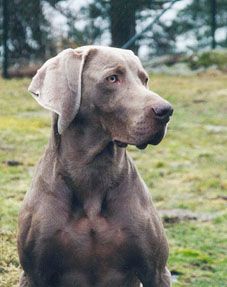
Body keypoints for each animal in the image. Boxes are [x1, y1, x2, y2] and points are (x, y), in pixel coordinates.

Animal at [17, 46, 174, 286]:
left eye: (144, 79)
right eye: (112, 78)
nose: (166, 111)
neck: (91, 173)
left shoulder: (157, 272)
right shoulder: (33, 274)